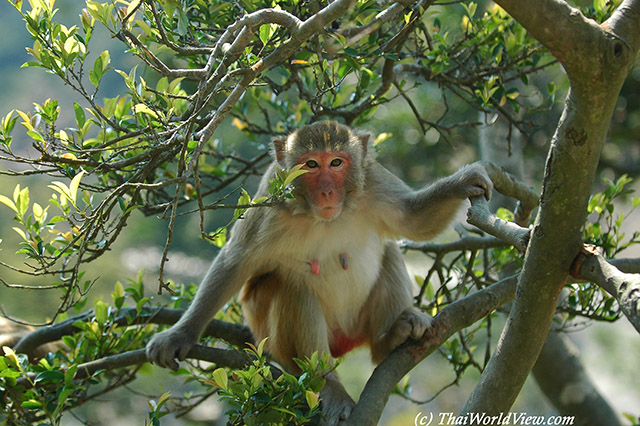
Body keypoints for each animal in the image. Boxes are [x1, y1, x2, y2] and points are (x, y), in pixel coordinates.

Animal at [148, 120, 492, 426]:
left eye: (337, 162)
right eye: (311, 165)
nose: (327, 192)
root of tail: (343, 342)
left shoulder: (372, 179)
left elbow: (413, 219)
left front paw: (462, 182)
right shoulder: (269, 202)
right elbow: (234, 263)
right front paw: (179, 334)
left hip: (360, 325)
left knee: (389, 252)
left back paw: (390, 338)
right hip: (276, 345)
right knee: (292, 287)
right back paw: (328, 384)